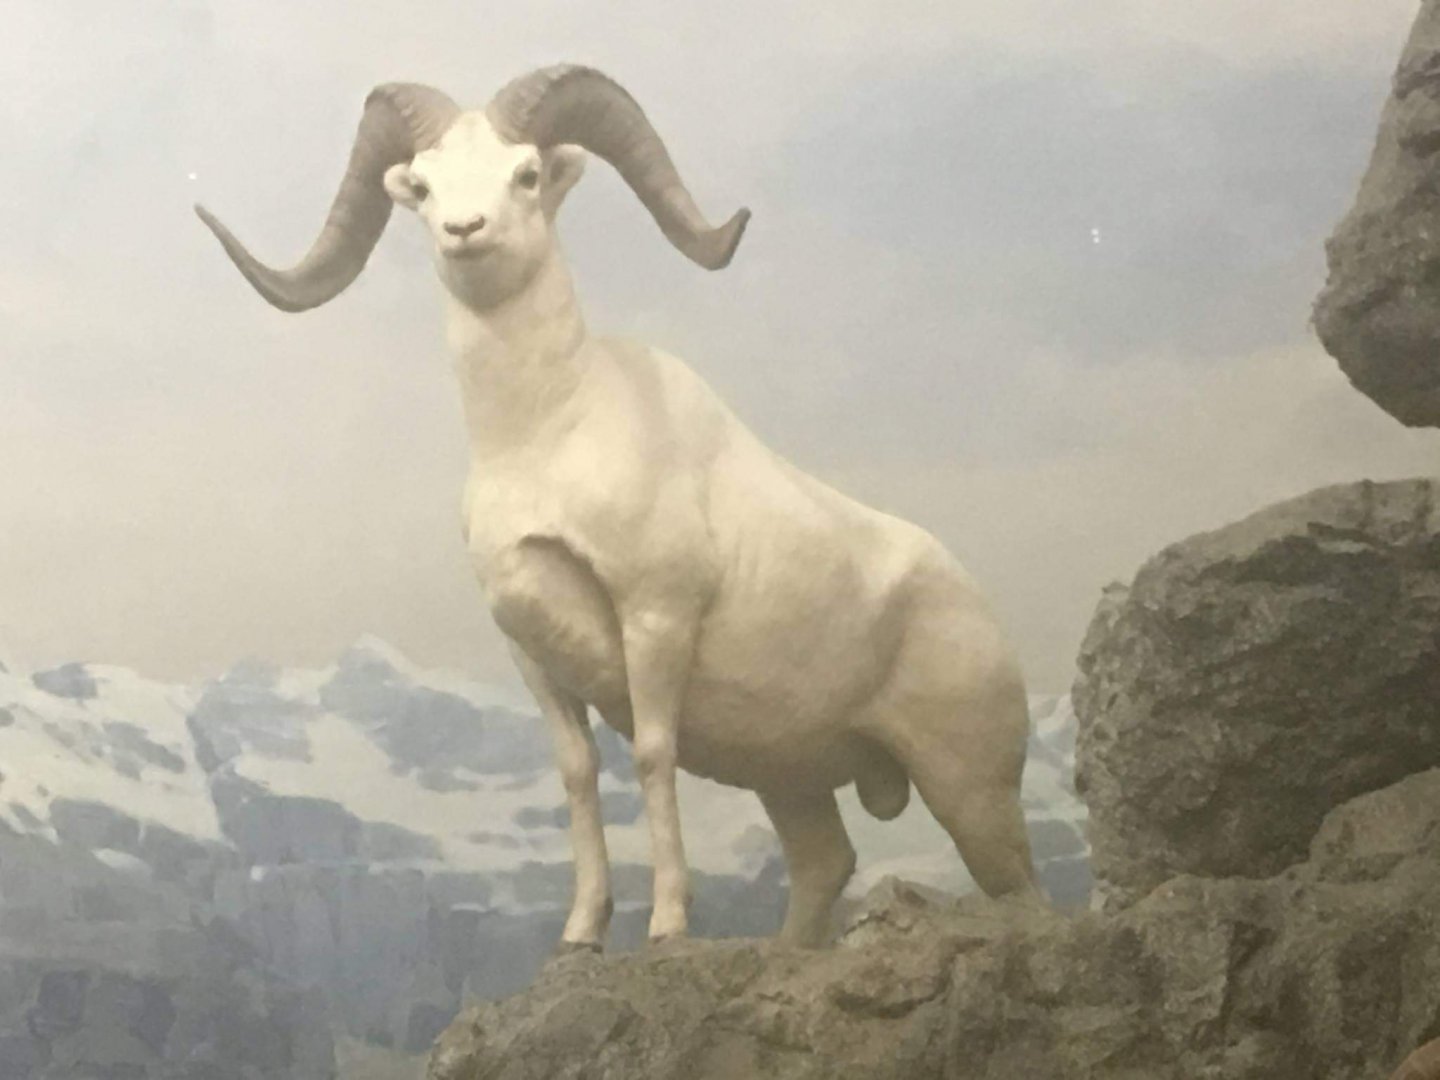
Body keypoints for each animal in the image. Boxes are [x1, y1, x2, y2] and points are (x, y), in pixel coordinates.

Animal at [196, 64, 1041, 949]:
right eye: (422, 186)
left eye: (527, 174)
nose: (464, 230)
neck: (543, 439)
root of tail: (979, 609)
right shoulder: (530, 655)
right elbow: (579, 772)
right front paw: (582, 933)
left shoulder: (655, 618)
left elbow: (652, 756)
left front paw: (666, 927)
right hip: (791, 782)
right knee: (824, 864)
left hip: (970, 788)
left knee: (1019, 887)